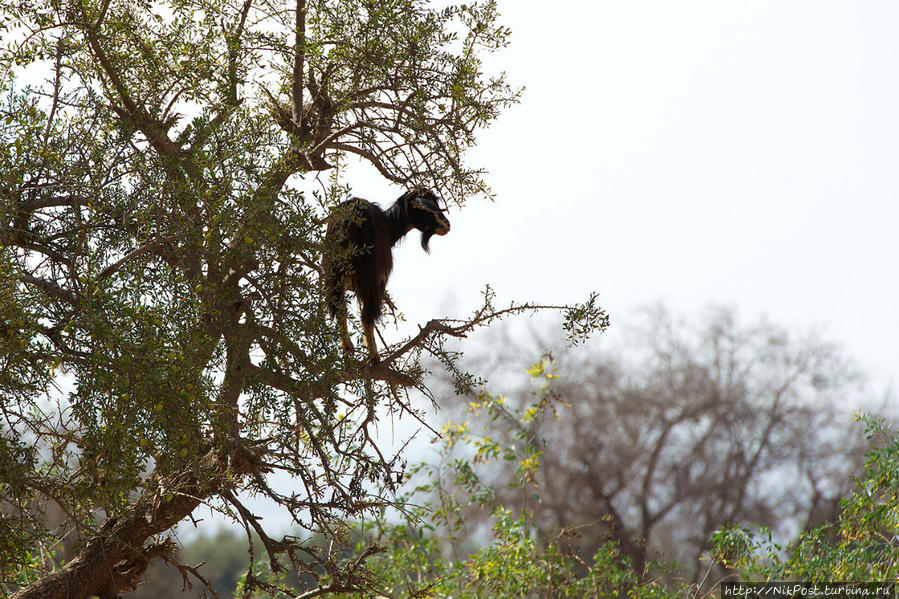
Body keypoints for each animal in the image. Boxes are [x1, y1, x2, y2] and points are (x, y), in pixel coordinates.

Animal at [322, 190, 450, 364]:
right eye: (424, 208)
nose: (446, 225)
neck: (389, 227)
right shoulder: (379, 278)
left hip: (333, 273)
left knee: (339, 307)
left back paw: (348, 349)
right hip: (370, 276)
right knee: (367, 314)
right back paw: (373, 357)